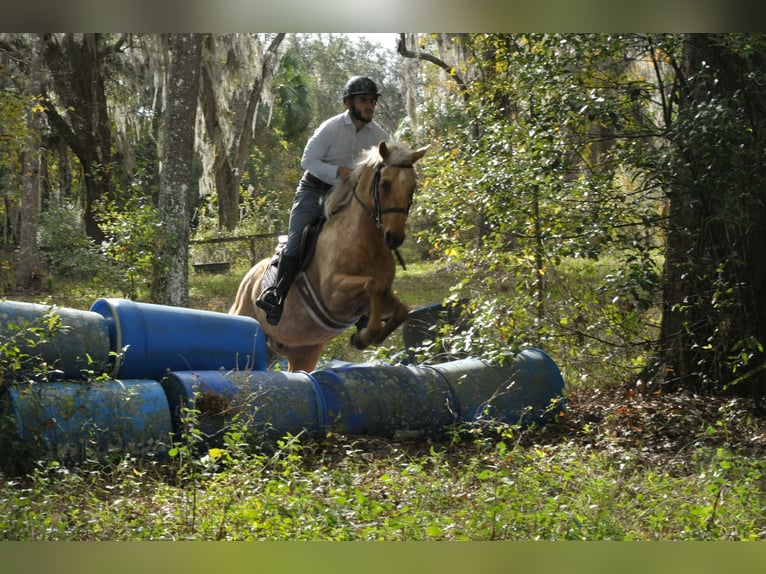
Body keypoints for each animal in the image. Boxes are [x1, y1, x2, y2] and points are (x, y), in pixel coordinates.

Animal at [230, 140, 429, 372]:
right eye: (385, 184)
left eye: (412, 187)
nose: (394, 237)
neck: (366, 243)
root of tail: (247, 279)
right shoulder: (334, 294)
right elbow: (372, 284)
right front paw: (365, 335)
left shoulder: (383, 296)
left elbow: (402, 309)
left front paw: (365, 336)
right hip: (246, 318)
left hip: (302, 351)